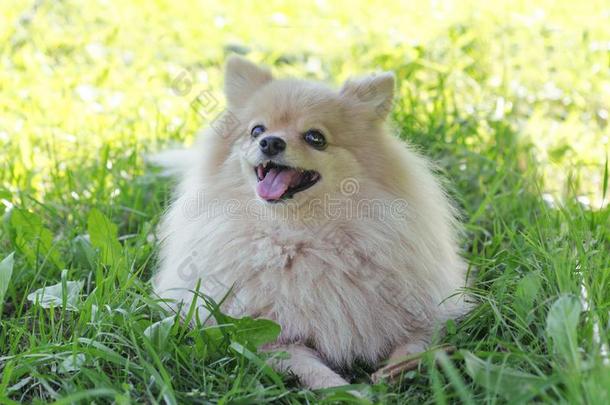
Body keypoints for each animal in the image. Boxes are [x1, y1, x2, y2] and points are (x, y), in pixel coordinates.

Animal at [152, 56, 470, 388]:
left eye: (315, 138)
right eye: (256, 130)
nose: (270, 142)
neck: (300, 236)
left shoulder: (426, 314)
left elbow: (416, 344)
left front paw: (394, 371)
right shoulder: (267, 339)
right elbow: (313, 370)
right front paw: (348, 391)